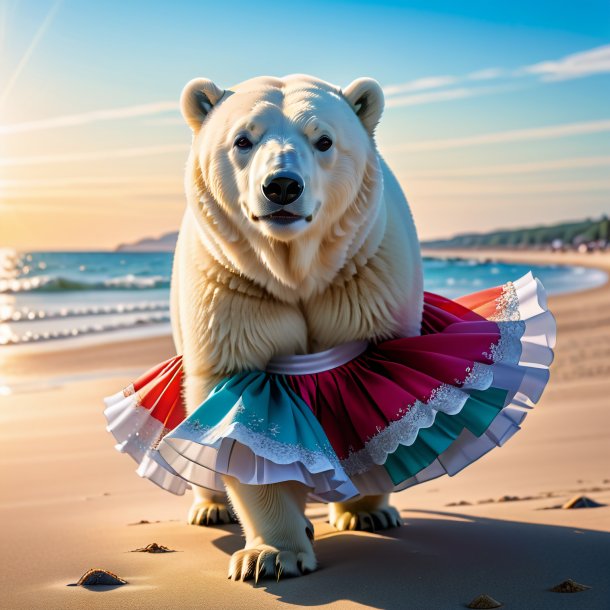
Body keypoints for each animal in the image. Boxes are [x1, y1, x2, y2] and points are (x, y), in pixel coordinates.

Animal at [169, 73, 420, 576]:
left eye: (324, 140)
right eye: (242, 140)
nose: (281, 186)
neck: (294, 272)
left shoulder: (365, 276)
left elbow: (377, 388)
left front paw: (367, 511)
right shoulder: (236, 287)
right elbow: (238, 406)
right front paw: (271, 555)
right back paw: (209, 507)